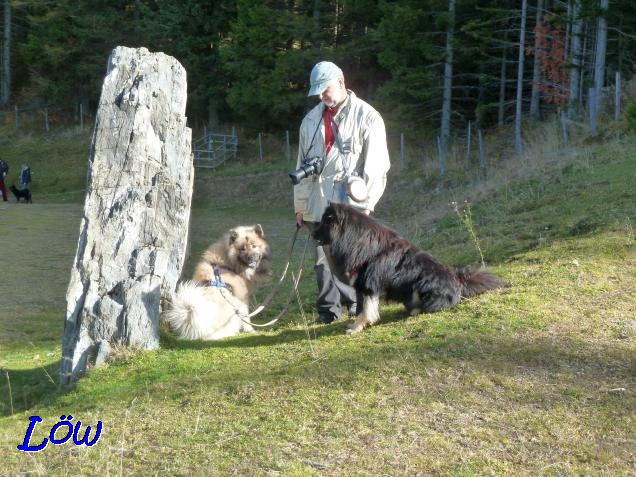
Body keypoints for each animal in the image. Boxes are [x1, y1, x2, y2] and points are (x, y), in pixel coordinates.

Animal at [310, 203, 504, 332]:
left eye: (324, 223)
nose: (311, 233)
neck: (354, 239)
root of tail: (459, 282)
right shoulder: (361, 285)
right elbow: (361, 308)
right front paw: (357, 324)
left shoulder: (368, 284)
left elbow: (365, 309)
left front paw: (357, 327)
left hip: (422, 285)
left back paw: (415, 310)